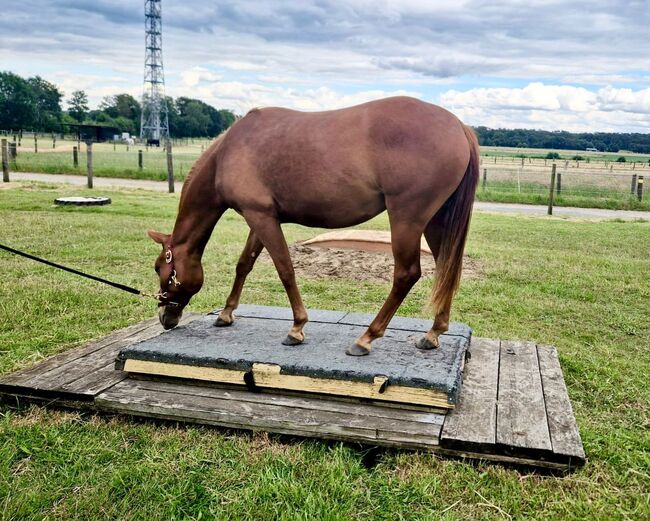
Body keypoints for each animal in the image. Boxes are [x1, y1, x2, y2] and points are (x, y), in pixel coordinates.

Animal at [148, 95, 480, 356]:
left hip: (406, 219)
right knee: (446, 268)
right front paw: (227, 313)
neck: (227, 153)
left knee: (406, 275)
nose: (165, 317)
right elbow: (244, 264)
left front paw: (296, 328)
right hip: (435, 221)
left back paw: (366, 338)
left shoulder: (260, 217)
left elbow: (285, 269)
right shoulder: (261, 217)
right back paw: (433, 334)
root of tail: (458, 126)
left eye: (159, 267)